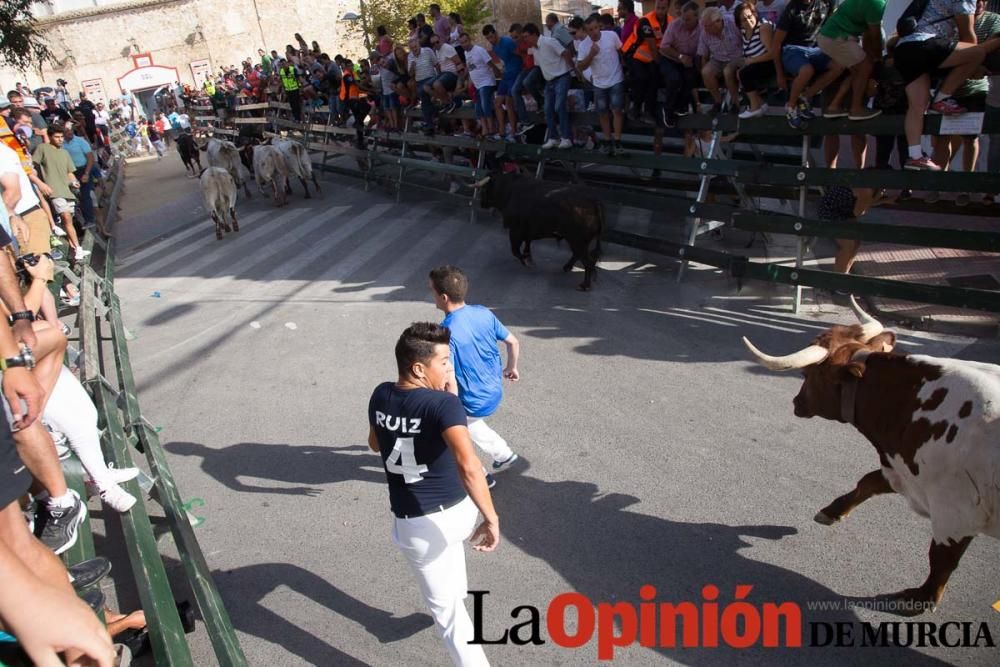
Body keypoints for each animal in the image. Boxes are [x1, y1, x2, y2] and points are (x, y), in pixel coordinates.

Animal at [748, 300, 996, 620]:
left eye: (807, 375)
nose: (796, 402)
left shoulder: (954, 512)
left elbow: (941, 559)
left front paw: (919, 599)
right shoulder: (903, 469)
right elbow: (868, 482)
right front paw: (832, 510)